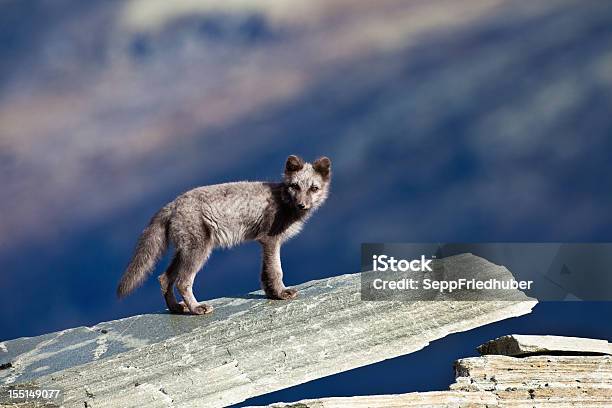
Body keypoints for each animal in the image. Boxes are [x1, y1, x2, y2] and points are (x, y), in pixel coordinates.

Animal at [117, 155, 332, 314]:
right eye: (295, 186)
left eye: (314, 188)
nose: (302, 205)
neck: (283, 200)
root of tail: (173, 204)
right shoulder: (271, 240)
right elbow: (276, 271)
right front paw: (281, 293)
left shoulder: (264, 243)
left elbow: (265, 274)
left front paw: (272, 294)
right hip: (198, 251)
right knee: (182, 282)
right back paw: (196, 309)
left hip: (183, 251)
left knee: (164, 278)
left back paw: (177, 309)